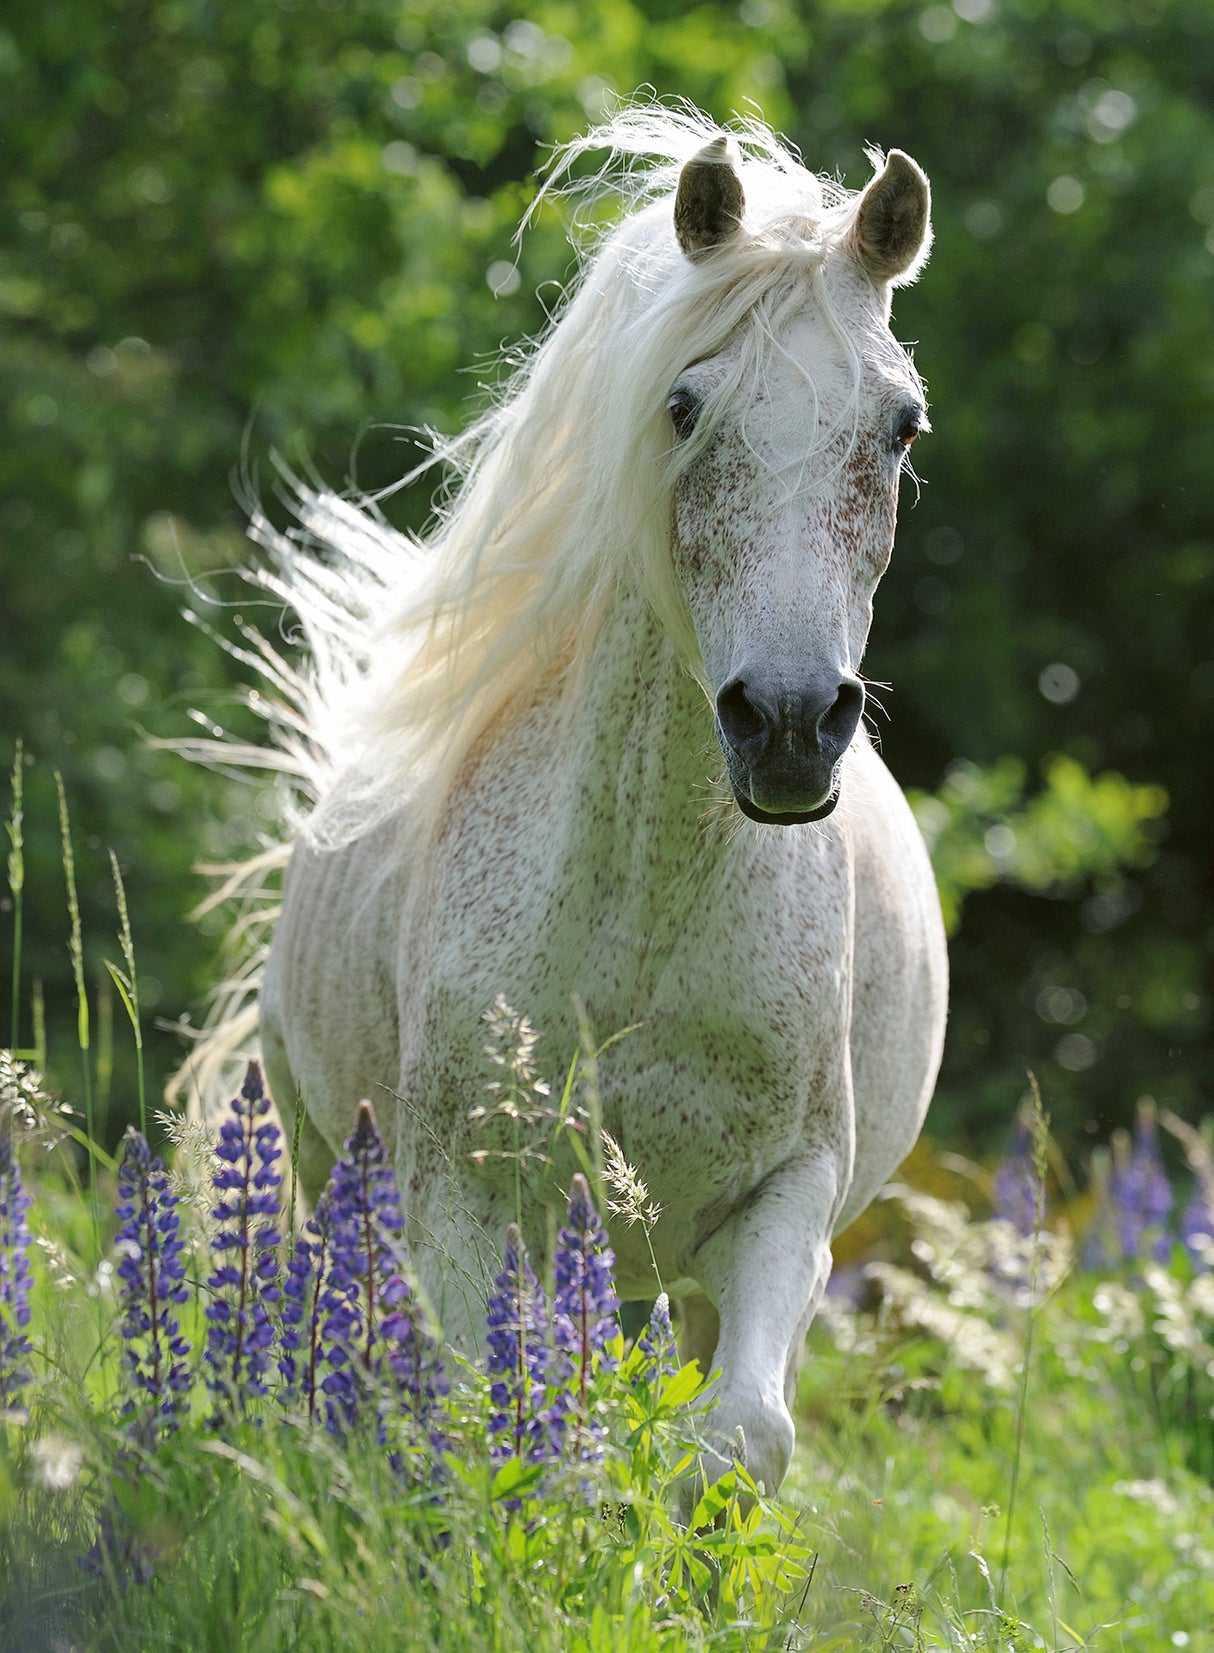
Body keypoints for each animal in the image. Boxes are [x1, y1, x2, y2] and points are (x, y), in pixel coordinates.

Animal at [224, 106, 947, 1498]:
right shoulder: (458, 1201)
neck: (644, 910)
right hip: (318, 1158)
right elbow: (486, 1430)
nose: (787, 726)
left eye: (898, 426)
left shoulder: (785, 1201)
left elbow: (739, 1437)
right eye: (682, 405)